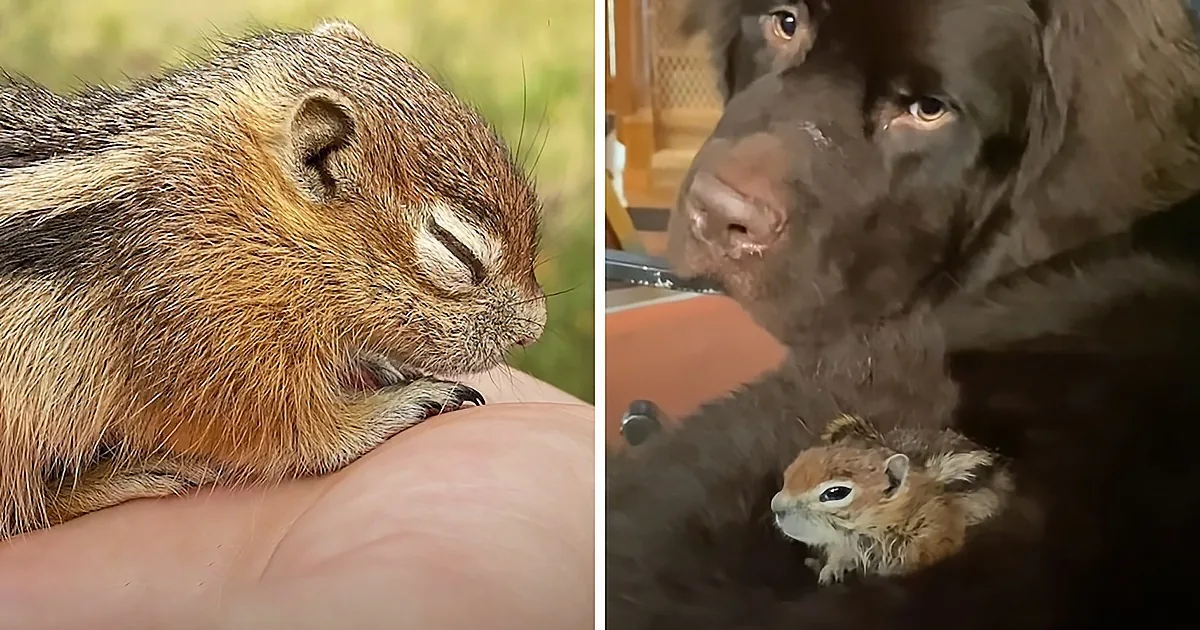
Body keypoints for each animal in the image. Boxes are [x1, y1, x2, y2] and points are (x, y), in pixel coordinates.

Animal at [0, 20, 546, 538]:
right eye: (457, 251)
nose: (535, 328)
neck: (237, 201)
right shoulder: (213, 345)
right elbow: (297, 433)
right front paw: (401, 404)